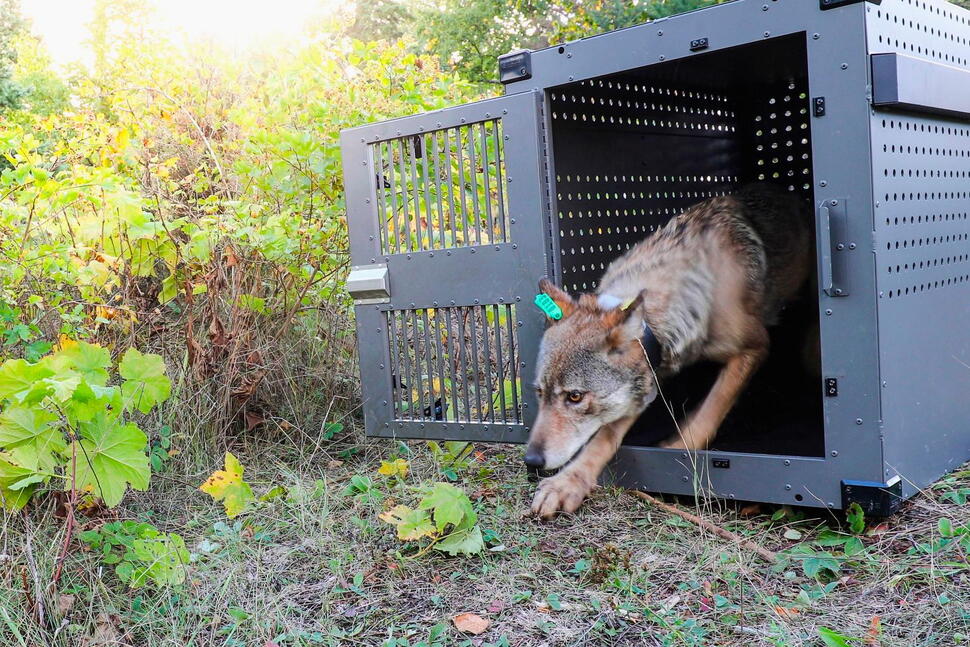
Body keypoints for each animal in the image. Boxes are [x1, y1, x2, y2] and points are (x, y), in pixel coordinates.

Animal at [526, 183, 813, 519]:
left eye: (574, 397)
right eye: (540, 393)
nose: (531, 461)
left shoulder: (755, 346)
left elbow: (711, 408)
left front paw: (677, 450)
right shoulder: (647, 378)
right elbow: (604, 437)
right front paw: (567, 483)